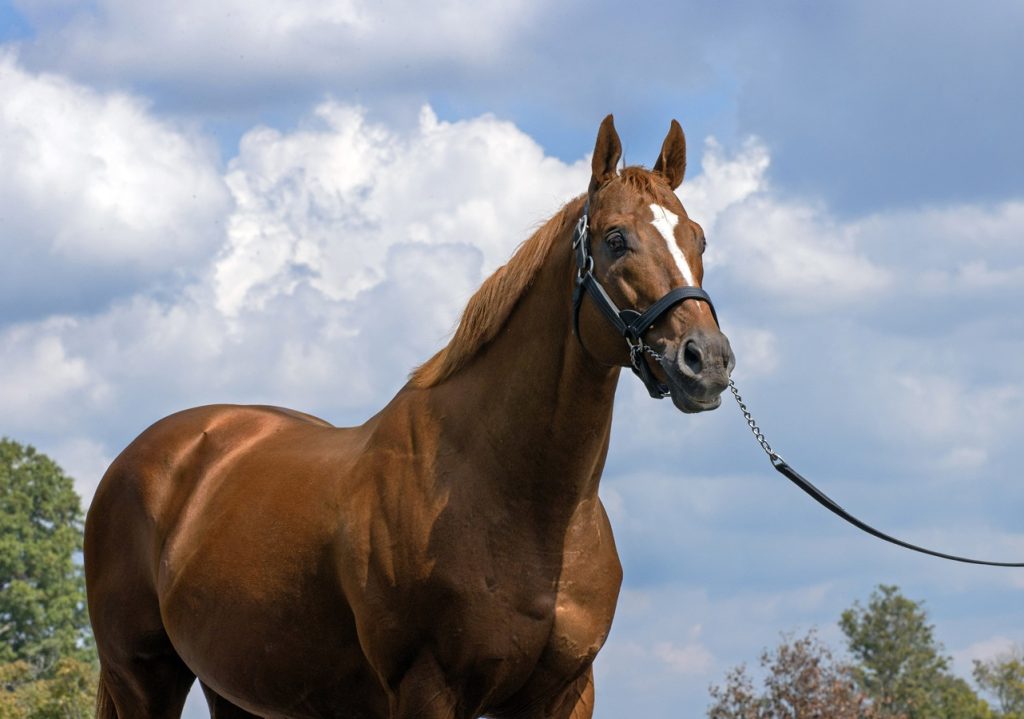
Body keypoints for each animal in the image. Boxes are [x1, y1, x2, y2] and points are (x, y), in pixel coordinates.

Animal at [83, 115, 733, 716]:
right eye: (616, 239)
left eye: (698, 238)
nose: (707, 360)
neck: (521, 501)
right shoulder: (428, 687)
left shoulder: (566, 692)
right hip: (142, 677)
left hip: (236, 691)